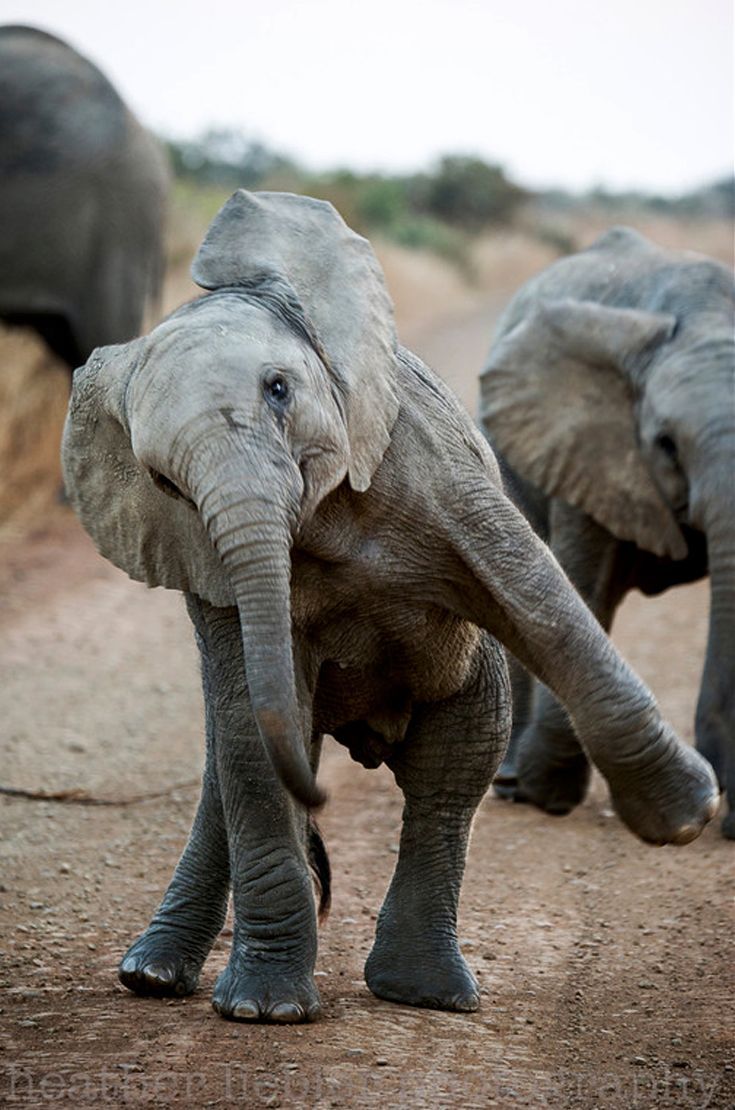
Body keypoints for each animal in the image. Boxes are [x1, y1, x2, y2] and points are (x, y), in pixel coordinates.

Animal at [481, 225, 732, 834]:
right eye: (665, 444)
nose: (717, 804)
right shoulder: (584, 443)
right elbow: (582, 583)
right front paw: (546, 796)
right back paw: (512, 783)